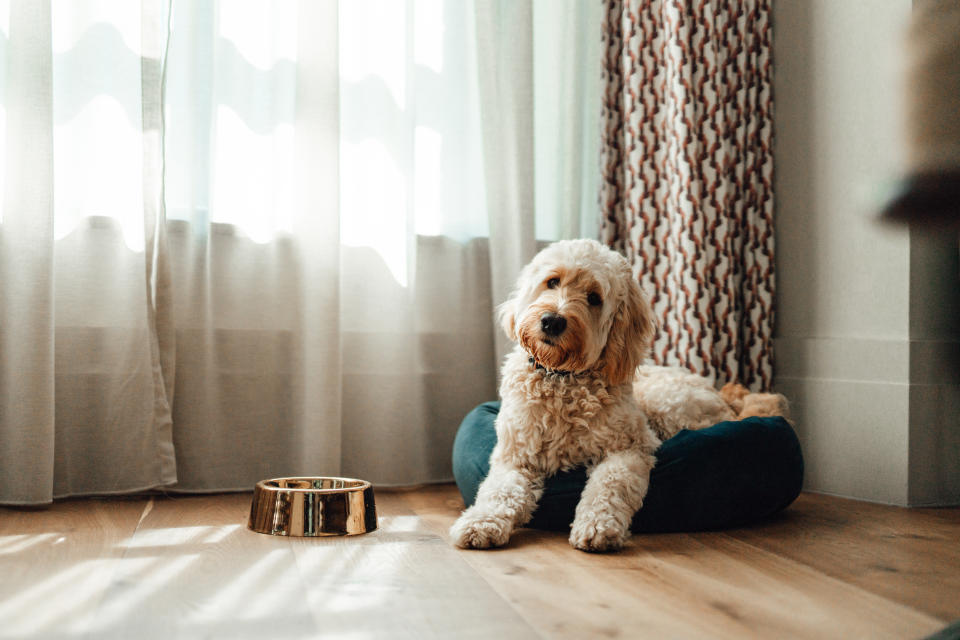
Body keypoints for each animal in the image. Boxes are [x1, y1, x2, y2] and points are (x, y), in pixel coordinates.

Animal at [450, 238, 788, 552]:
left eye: (594, 298)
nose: (552, 321)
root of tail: (722, 396)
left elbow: (609, 486)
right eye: (553, 281)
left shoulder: (629, 448)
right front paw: (481, 521)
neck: (562, 380)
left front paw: (598, 526)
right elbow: (498, 491)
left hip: (668, 406)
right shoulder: (515, 456)